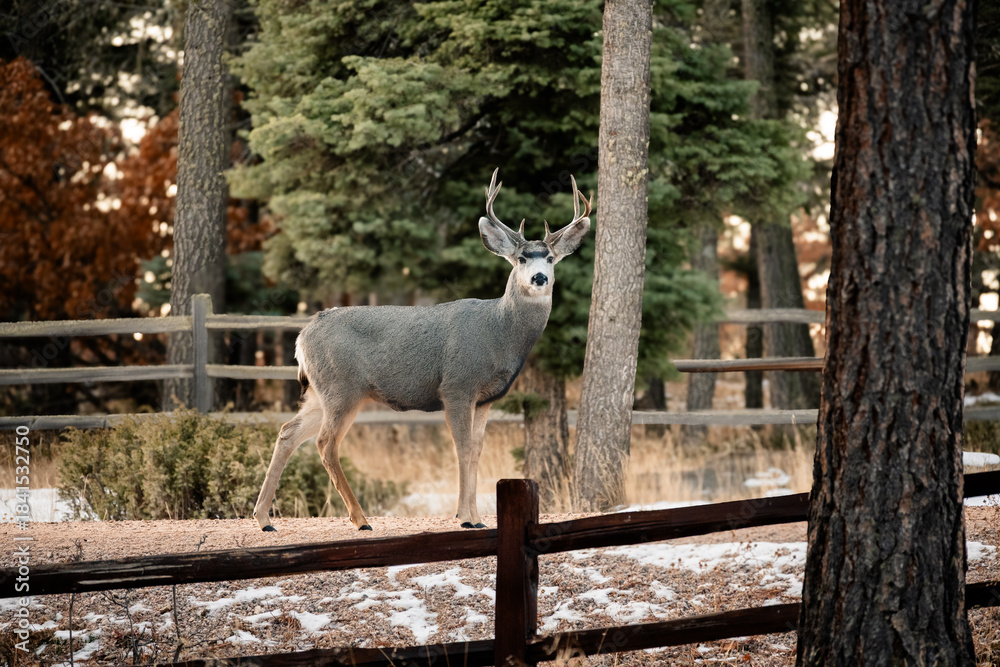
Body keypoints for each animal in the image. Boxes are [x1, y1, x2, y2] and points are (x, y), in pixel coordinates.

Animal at [253, 168, 592, 532]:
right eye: (521, 258)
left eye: (551, 258)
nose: (540, 277)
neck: (498, 332)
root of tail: (302, 337)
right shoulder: (456, 386)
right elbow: (462, 448)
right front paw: (465, 518)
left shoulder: (484, 398)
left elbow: (476, 450)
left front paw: (477, 518)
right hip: (342, 387)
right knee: (325, 443)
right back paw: (360, 520)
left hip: (320, 391)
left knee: (288, 433)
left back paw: (264, 518)